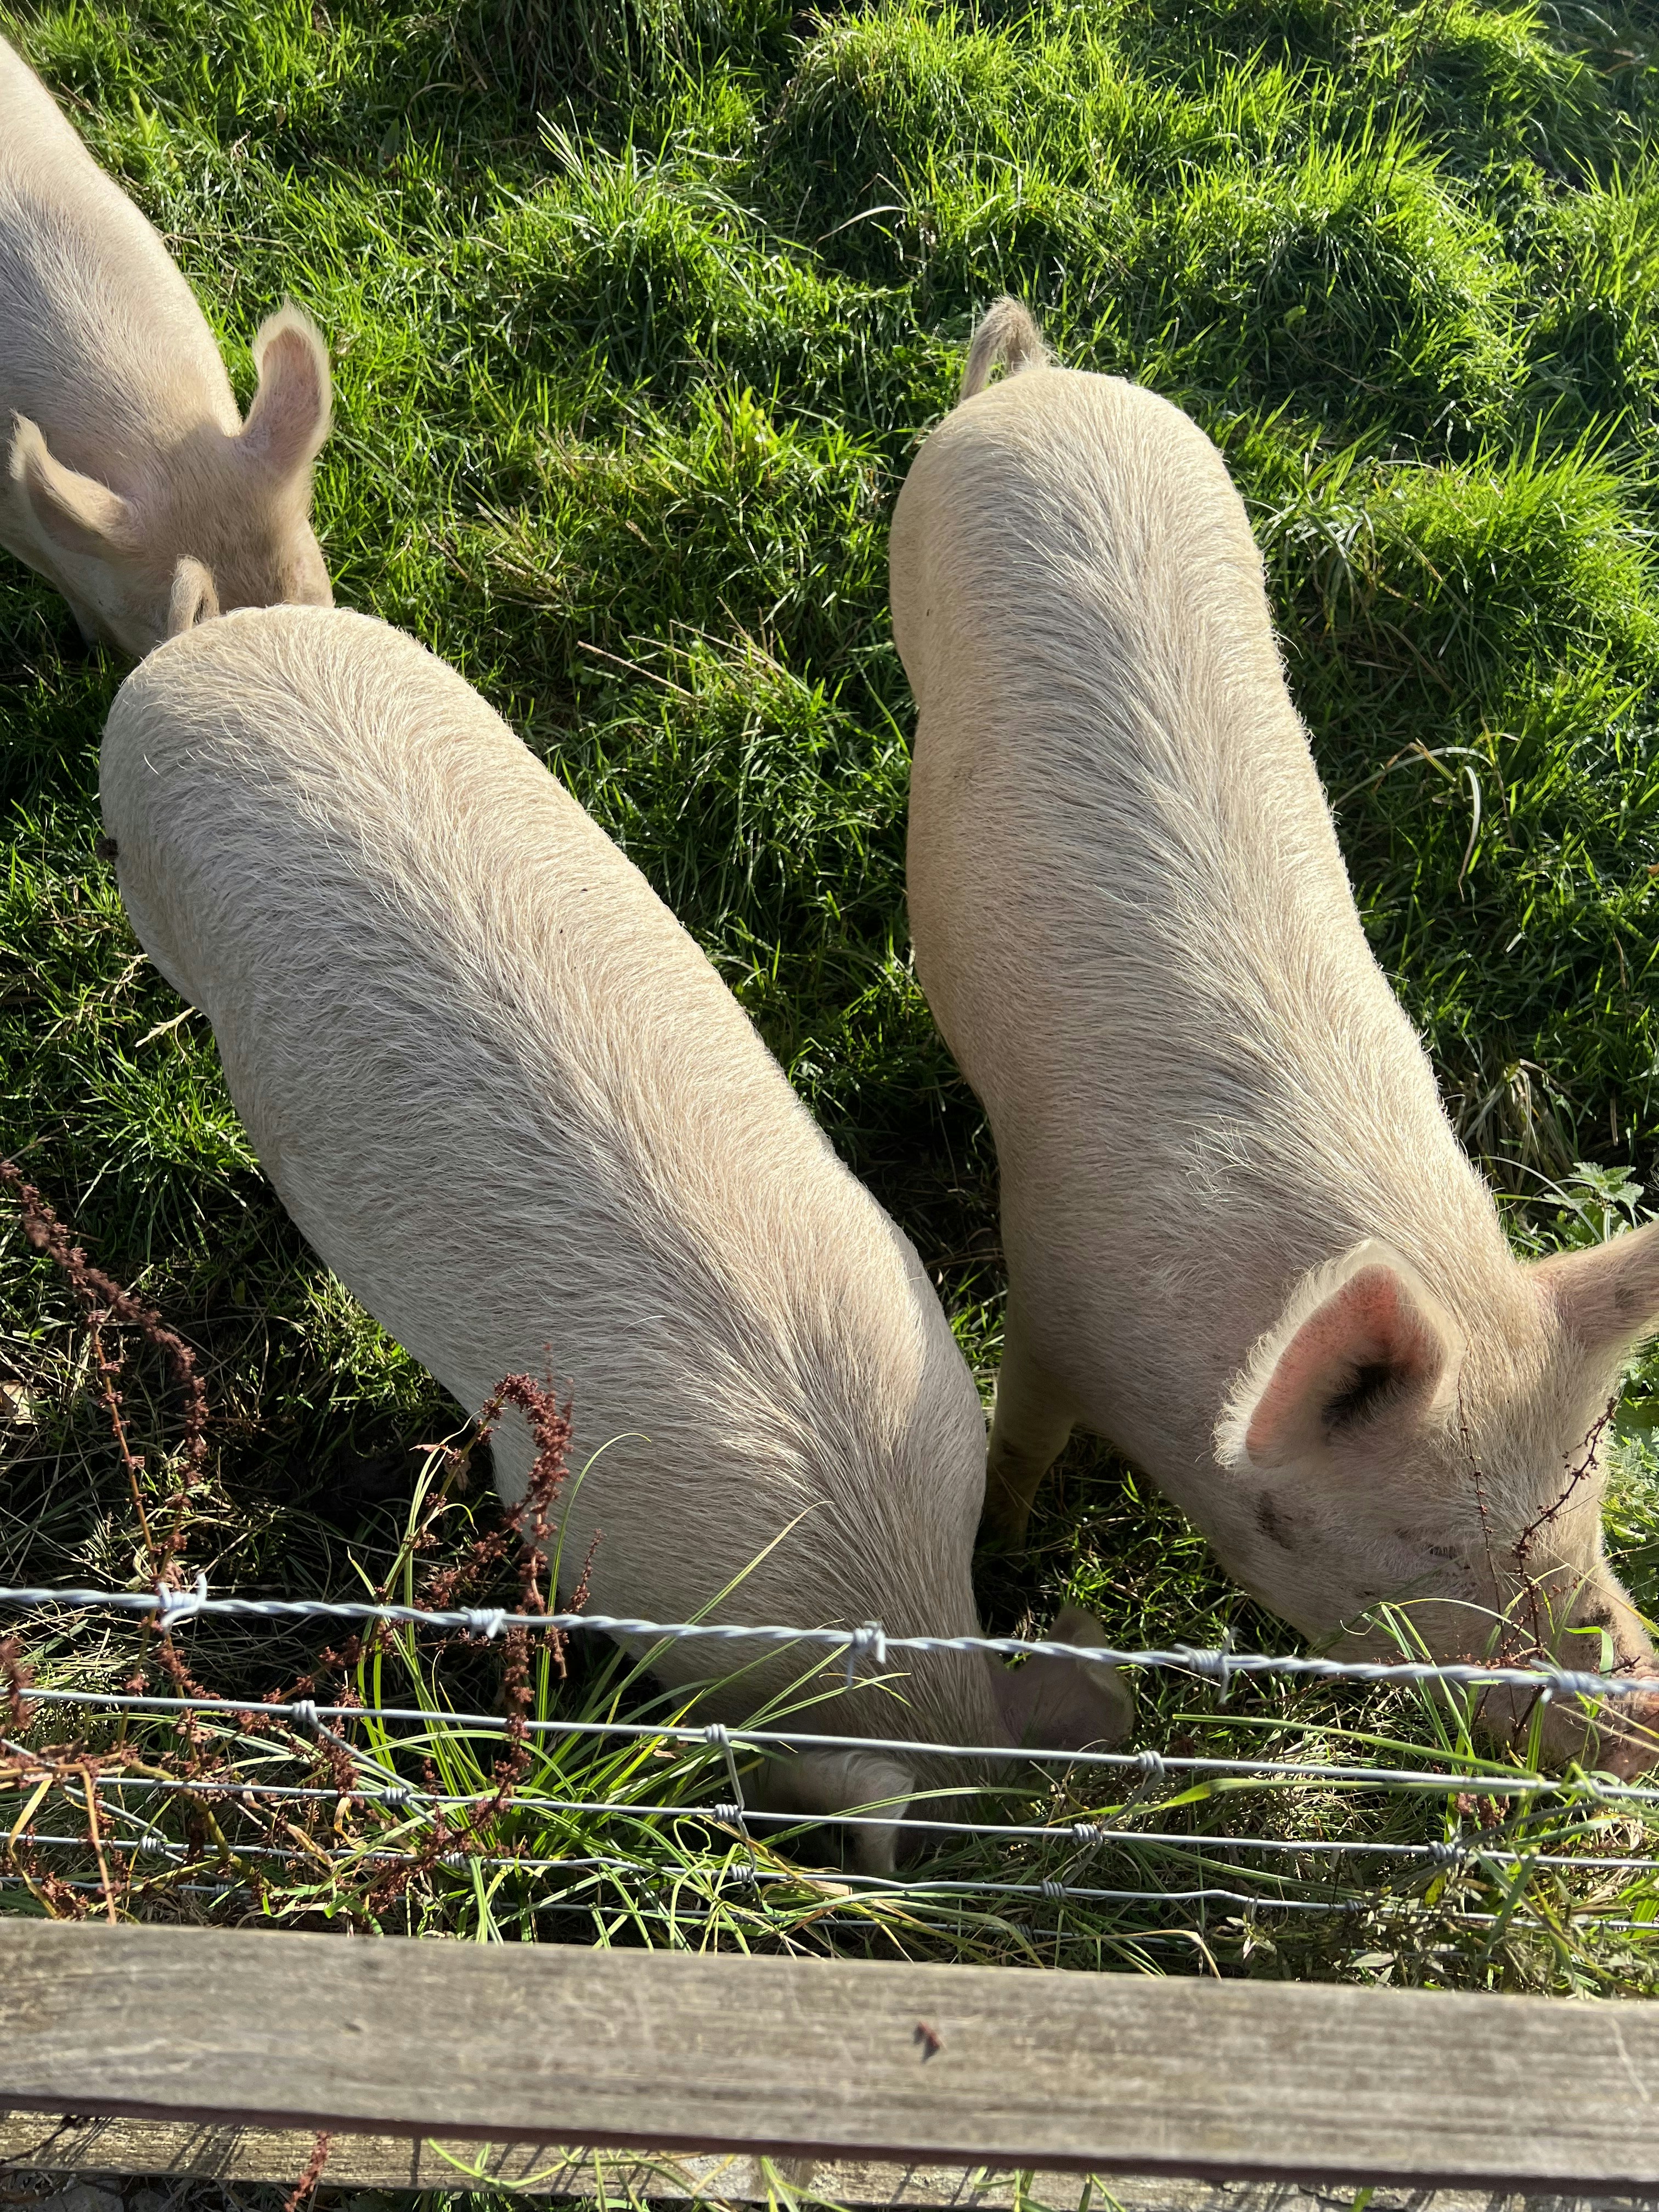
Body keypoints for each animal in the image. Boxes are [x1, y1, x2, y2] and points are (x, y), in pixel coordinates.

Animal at [891, 295, 1659, 1776]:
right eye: (1420, 1552)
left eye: (1587, 1498)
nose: (1639, 1713)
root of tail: (1050, 386)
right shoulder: (1049, 1290)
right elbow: (1019, 1445)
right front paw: (1001, 1555)